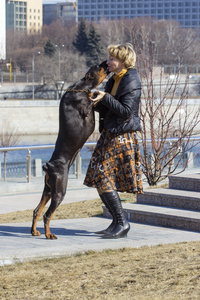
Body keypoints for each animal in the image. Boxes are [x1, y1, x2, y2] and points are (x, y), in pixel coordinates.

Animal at [31, 61, 109, 239]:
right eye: (99, 67)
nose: (106, 63)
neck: (81, 87)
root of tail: (48, 167)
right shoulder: (86, 108)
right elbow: (92, 101)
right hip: (59, 190)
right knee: (47, 214)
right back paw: (49, 234)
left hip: (48, 190)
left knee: (37, 210)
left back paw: (34, 231)